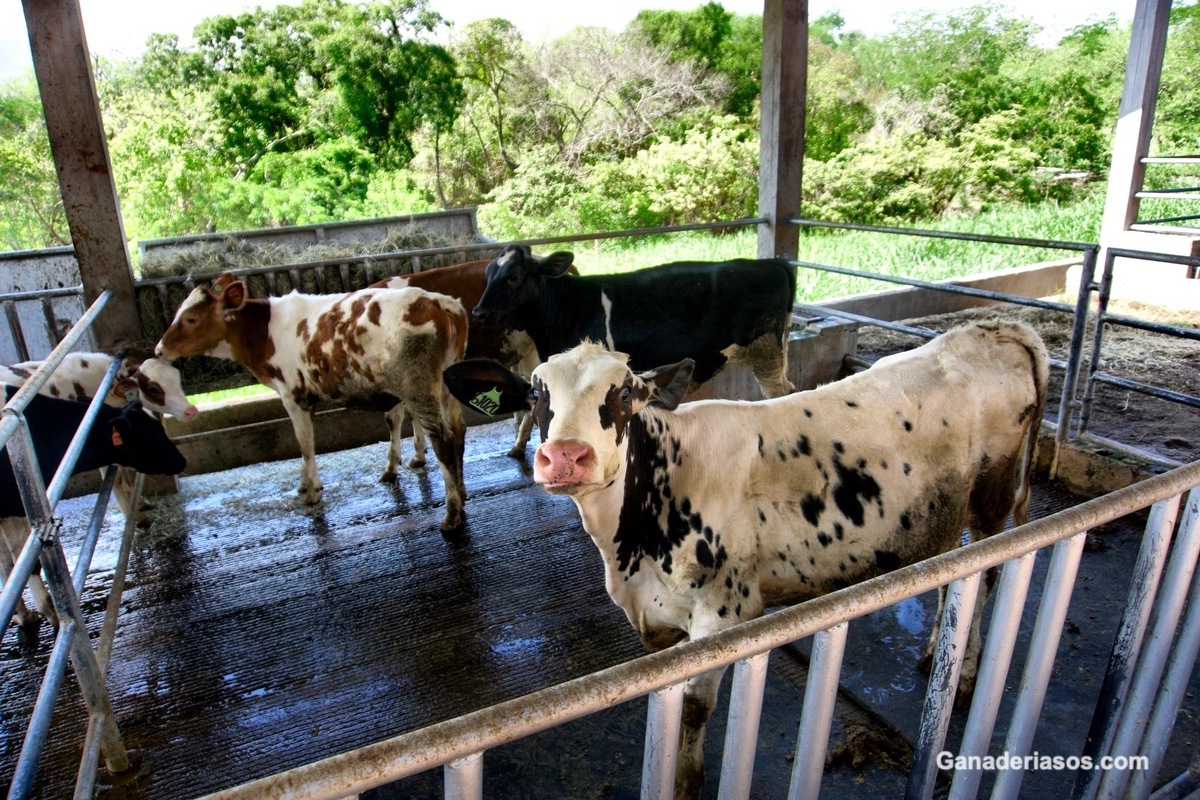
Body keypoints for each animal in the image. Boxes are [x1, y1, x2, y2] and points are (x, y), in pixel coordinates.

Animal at [158, 271, 472, 532]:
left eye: (190, 319)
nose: (159, 350)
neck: (264, 331)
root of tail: (439, 302)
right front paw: (303, 483)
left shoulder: (292, 395)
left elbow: (304, 441)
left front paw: (312, 491)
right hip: (446, 384)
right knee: (458, 430)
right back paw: (461, 493)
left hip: (417, 386)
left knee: (442, 438)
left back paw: (451, 514)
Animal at [444, 321, 1051, 796]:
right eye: (534, 396)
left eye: (624, 395)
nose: (566, 457)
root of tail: (996, 329)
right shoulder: (661, 622)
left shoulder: (721, 615)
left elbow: (693, 711)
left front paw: (685, 782)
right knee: (955, 574)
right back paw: (937, 651)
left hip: (993, 496)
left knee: (988, 571)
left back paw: (964, 674)